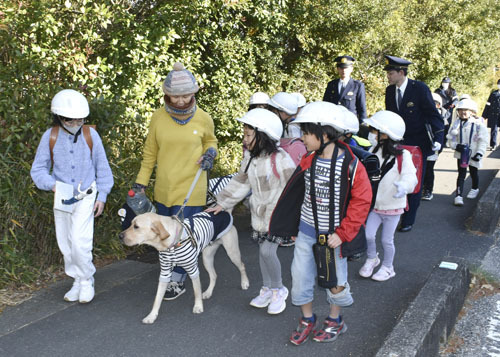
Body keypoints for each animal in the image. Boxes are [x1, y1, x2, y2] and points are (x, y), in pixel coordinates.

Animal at [117, 210, 250, 324]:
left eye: (136, 227)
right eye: (131, 224)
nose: (120, 236)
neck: (171, 244)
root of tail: (225, 211)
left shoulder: (193, 270)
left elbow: (196, 291)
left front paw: (198, 306)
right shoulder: (164, 273)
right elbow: (157, 298)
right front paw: (152, 316)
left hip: (232, 252)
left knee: (242, 266)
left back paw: (245, 283)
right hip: (207, 257)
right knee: (214, 275)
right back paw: (208, 292)